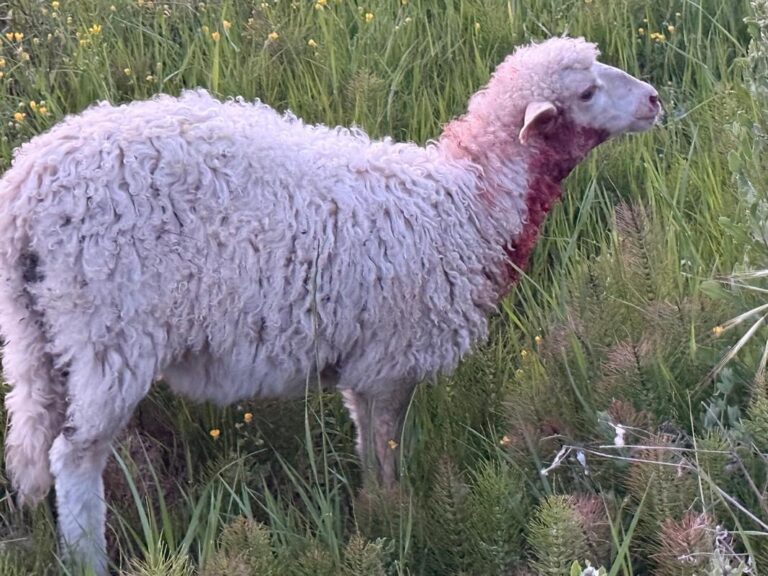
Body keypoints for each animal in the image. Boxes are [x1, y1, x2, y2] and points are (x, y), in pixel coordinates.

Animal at [0, 36, 659, 573]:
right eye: (587, 91)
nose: (654, 100)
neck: (471, 203)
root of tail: (27, 186)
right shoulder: (393, 359)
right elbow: (388, 452)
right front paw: (396, 524)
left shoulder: (366, 367)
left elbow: (370, 448)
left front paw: (376, 518)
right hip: (109, 329)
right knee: (74, 457)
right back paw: (88, 560)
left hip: (40, 335)